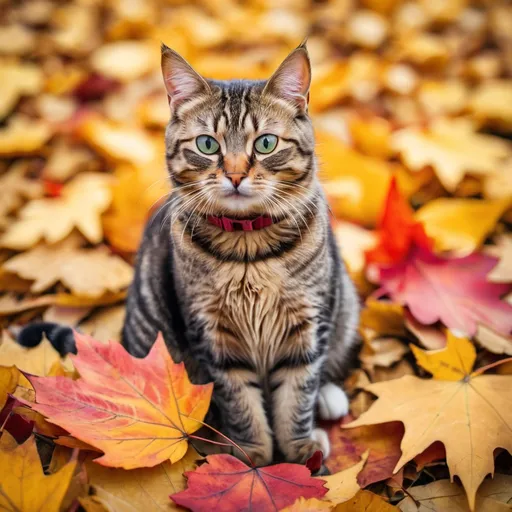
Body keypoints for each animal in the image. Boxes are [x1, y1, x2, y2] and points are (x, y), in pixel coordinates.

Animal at [19, 43, 360, 468]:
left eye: (265, 143)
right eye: (207, 144)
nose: (235, 175)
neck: (247, 250)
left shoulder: (307, 323)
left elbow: (297, 396)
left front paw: (299, 454)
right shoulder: (214, 336)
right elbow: (241, 403)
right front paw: (251, 460)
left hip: (344, 304)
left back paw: (328, 399)